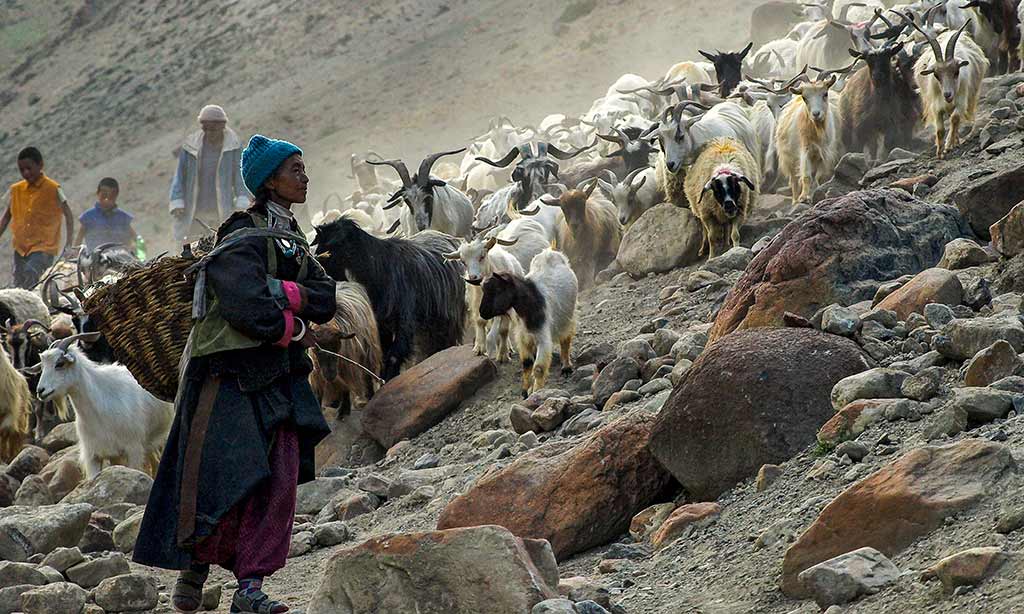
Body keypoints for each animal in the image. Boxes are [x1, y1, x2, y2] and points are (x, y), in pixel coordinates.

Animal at [309, 284, 382, 421]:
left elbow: (345, 387)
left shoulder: (346, 364)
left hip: (368, 352)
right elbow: (318, 389)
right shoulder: (316, 371)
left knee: (367, 376)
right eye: (316, 348)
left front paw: (343, 411)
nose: (330, 375)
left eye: (337, 346)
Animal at [311, 217, 468, 380]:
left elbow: (395, 352)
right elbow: (385, 350)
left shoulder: (405, 315)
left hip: (450, 316)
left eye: (334, 244)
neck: (379, 269)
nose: (318, 264)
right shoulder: (380, 321)